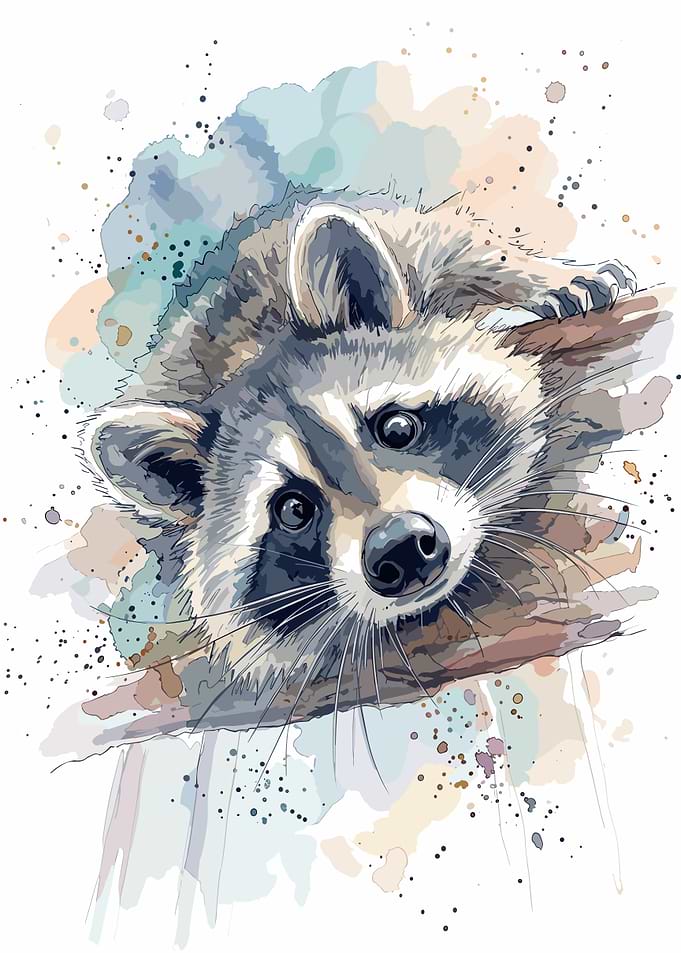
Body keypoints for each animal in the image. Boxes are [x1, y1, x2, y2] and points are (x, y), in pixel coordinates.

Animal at [82, 186, 640, 720]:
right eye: (293, 510)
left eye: (396, 428)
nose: (400, 547)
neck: (248, 354)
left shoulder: (403, 247)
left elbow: (459, 242)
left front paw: (546, 277)